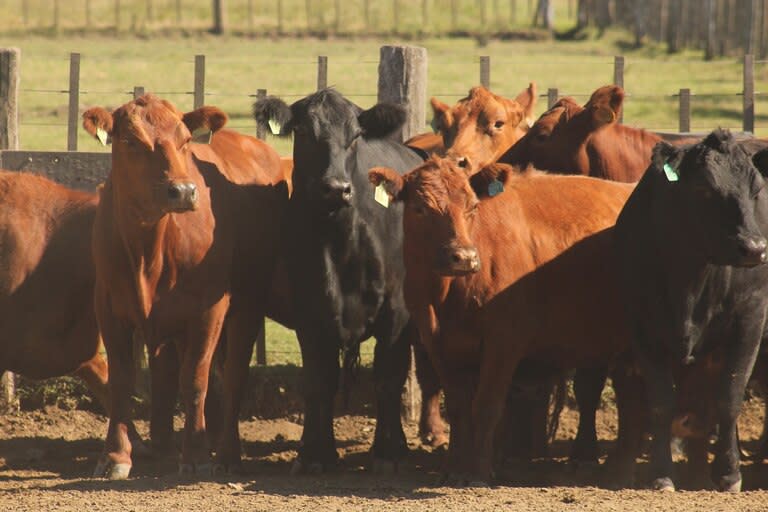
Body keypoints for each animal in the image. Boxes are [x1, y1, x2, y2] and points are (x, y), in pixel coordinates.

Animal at [82, 93, 290, 480]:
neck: (149, 249)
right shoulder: (109, 307)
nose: (182, 191)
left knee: (233, 373)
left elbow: (195, 379)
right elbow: (122, 381)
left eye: (185, 140)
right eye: (130, 141)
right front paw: (115, 455)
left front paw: (195, 455)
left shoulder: (208, 310)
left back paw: (226, 452)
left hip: (248, 302)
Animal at [252, 89, 420, 472]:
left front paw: (388, 451)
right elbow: (319, 381)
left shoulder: (398, 315)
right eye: (303, 132)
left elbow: (388, 379)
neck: (341, 243)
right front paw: (316, 453)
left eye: (356, 135)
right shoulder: (310, 314)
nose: (336, 188)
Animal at [368, 160, 640, 484]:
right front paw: (453, 468)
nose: (463, 257)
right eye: (420, 208)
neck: (448, 296)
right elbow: (458, 406)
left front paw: (479, 472)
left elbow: (486, 405)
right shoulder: (435, 342)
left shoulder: (504, 341)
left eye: (472, 207)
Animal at [616, 129, 768, 492]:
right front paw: (661, 473)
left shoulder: (751, 318)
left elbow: (729, 396)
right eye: (704, 189)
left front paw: (729, 474)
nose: (754, 248)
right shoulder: (643, 324)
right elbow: (661, 402)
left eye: (755, 190)